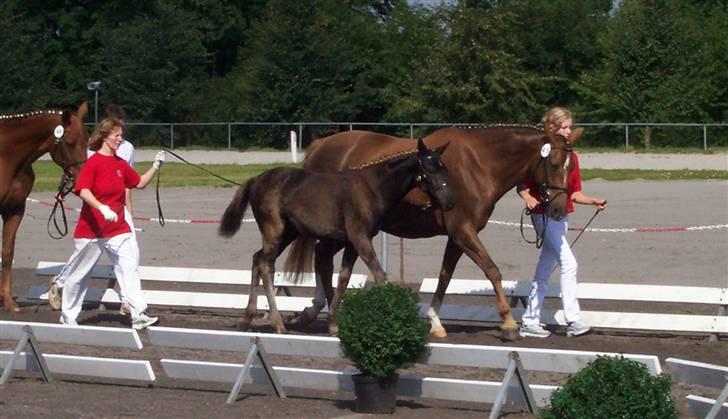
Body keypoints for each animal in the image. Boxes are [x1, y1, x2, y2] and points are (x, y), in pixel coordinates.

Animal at [0, 101, 90, 312]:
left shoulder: (14, 210)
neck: (6, 155)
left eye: (88, 141)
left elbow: (7, 253)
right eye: (70, 143)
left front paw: (8, 302)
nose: (83, 179)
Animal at [219, 139, 452, 334]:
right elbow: (379, 275)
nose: (449, 201)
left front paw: (333, 323)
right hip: (274, 230)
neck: (373, 188)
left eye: (444, 167)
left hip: (289, 233)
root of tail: (256, 179)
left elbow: (343, 278)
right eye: (428, 168)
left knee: (257, 258)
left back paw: (247, 319)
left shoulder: (352, 242)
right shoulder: (360, 237)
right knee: (266, 264)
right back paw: (277, 324)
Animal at [302, 125, 580, 342]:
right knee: (322, 256)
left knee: (321, 255)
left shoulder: (458, 237)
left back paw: (318, 309)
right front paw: (509, 323)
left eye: (571, 168)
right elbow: (492, 271)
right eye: (555, 164)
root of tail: (320, 146)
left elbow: (445, 276)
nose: (558, 210)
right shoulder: (463, 232)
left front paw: (435, 321)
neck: (479, 165)